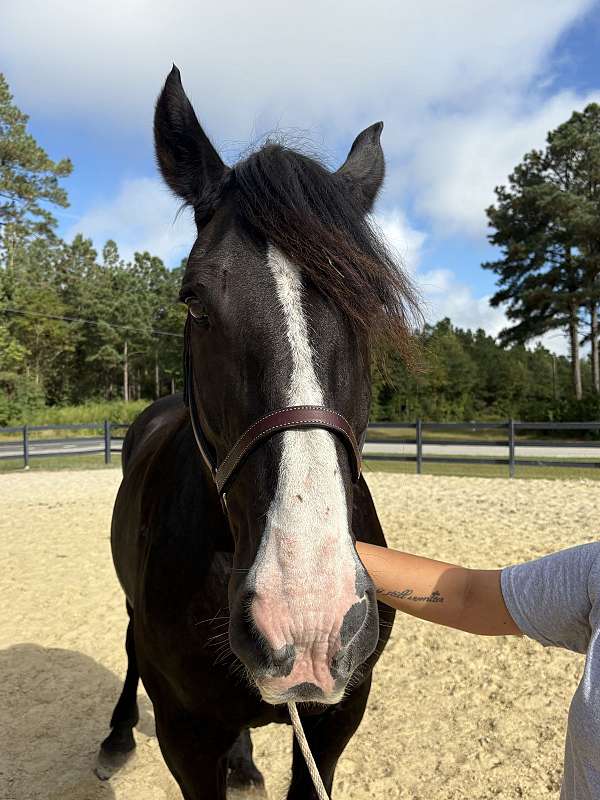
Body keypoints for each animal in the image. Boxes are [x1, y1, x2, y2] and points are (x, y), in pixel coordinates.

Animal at [98, 65, 418, 799]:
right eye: (193, 300)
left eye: (372, 304)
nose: (307, 615)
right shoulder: (184, 735)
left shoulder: (335, 720)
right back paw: (117, 735)